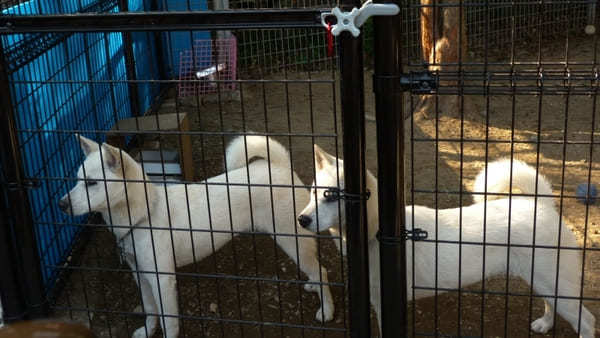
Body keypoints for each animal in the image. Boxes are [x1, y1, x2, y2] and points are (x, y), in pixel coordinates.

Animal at [58, 135, 336, 338]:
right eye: (78, 180)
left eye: (92, 183)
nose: (61, 204)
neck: (144, 214)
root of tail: (277, 165)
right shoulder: (141, 274)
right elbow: (150, 309)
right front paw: (147, 331)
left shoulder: (163, 280)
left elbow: (169, 321)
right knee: (316, 269)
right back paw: (313, 285)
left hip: (292, 239)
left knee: (322, 270)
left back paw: (327, 310)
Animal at [298, 147, 596, 338]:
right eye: (313, 192)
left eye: (331, 196)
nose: (301, 219)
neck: (377, 231)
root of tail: (542, 204)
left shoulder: (386, 305)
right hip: (545, 281)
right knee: (551, 304)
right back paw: (545, 324)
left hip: (556, 284)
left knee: (587, 321)